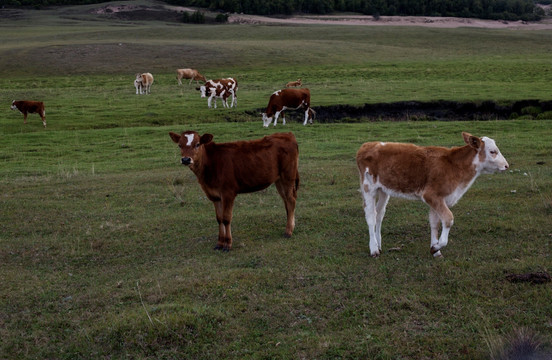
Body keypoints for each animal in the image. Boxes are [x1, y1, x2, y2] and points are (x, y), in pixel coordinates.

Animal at [169, 131, 300, 252]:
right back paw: (291, 226)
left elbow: (226, 218)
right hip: (278, 179)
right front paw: (219, 243)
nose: (186, 159)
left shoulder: (228, 193)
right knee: (286, 201)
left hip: (287, 176)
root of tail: (287, 134)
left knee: (291, 200)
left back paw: (288, 231)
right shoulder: (214, 195)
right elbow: (219, 218)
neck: (210, 164)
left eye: (197, 144)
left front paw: (228, 244)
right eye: (179, 145)